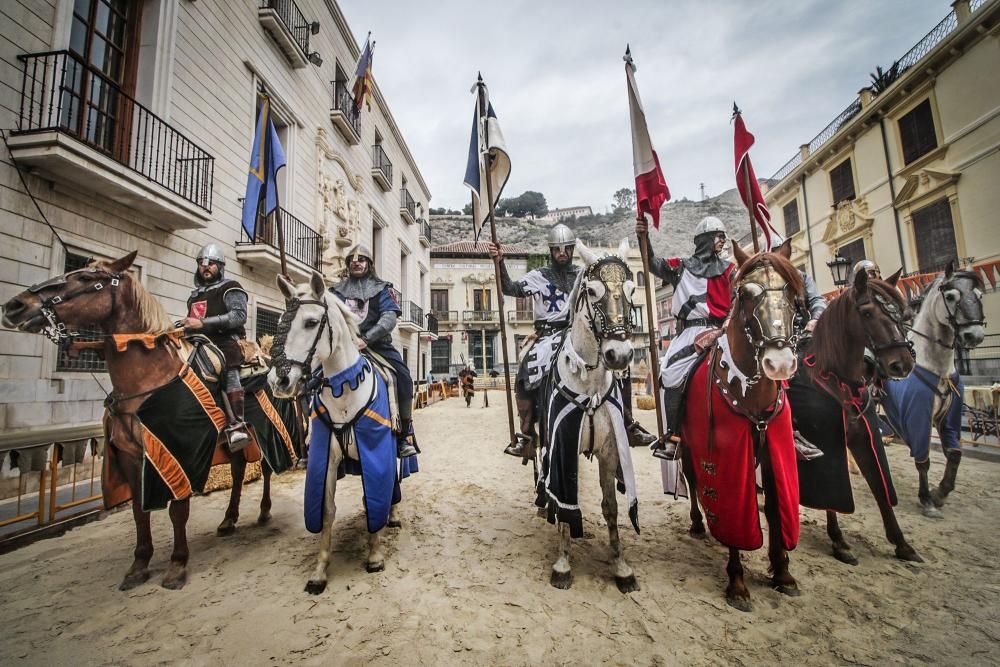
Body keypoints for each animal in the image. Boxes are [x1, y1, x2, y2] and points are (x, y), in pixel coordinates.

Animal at [0, 252, 286, 588]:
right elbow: (139, 510)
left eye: (85, 279)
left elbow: (178, 509)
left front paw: (177, 565)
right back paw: (229, 519)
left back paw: (264, 512)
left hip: (266, 430)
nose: (16, 306)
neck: (149, 377)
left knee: (265, 468)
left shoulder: (181, 451)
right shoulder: (131, 457)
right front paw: (139, 564)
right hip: (233, 443)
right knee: (240, 470)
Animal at [270, 272, 406, 596]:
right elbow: (327, 510)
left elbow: (373, 499)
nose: (279, 380)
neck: (345, 389)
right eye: (280, 321)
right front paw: (319, 571)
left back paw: (393, 515)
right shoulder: (327, 461)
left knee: (395, 480)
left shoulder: (376, 450)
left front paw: (375, 555)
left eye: (310, 322)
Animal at [540, 239, 640, 588]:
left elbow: (611, 507)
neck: (590, 382)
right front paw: (562, 564)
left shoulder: (611, 451)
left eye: (632, 289)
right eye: (593, 291)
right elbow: (565, 500)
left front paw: (622, 566)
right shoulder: (563, 445)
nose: (618, 354)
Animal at [680, 243, 804, 612]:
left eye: (791, 290)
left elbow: (776, 508)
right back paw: (697, 523)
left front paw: (783, 572)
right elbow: (733, 511)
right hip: (688, 446)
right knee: (692, 480)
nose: (779, 363)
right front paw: (737, 583)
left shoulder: (776, 455)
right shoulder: (727, 458)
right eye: (745, 294)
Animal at [788, 268, 920, 568]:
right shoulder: (828, 439)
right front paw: (838, 541)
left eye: (899, 314)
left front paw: (901, 542)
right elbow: (831, 492)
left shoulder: (863, 436)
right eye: (867, 312)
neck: (836, 377)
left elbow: (880, 486)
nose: (902, 363)